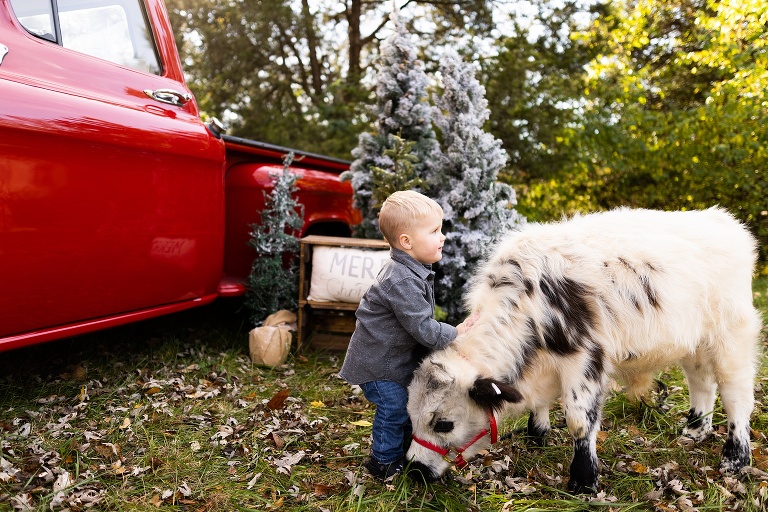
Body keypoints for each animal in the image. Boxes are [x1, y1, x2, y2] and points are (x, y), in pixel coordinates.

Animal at [408, 207, 760, 492]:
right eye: (410, 416)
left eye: (443, 424)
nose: (414, 470)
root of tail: (721, 220)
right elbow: (541, 404)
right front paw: (536, 436)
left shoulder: (586, 358)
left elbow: (580, 418)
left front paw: (584, 479)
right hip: (695, 344)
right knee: (702, 383)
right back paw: (695, 430)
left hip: (733, 335)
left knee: (736, 393)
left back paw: (736, 459)